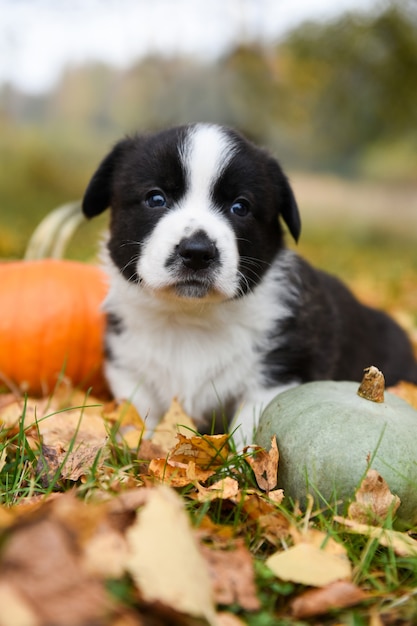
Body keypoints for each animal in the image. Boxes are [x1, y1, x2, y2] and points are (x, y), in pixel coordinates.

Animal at [81, 123, 416, 444]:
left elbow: (249, 431)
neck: (189, 318)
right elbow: (139, 417)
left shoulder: (278, 375)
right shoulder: (128, 366)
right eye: (155, 198)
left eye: (240, 207)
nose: (197, 253)